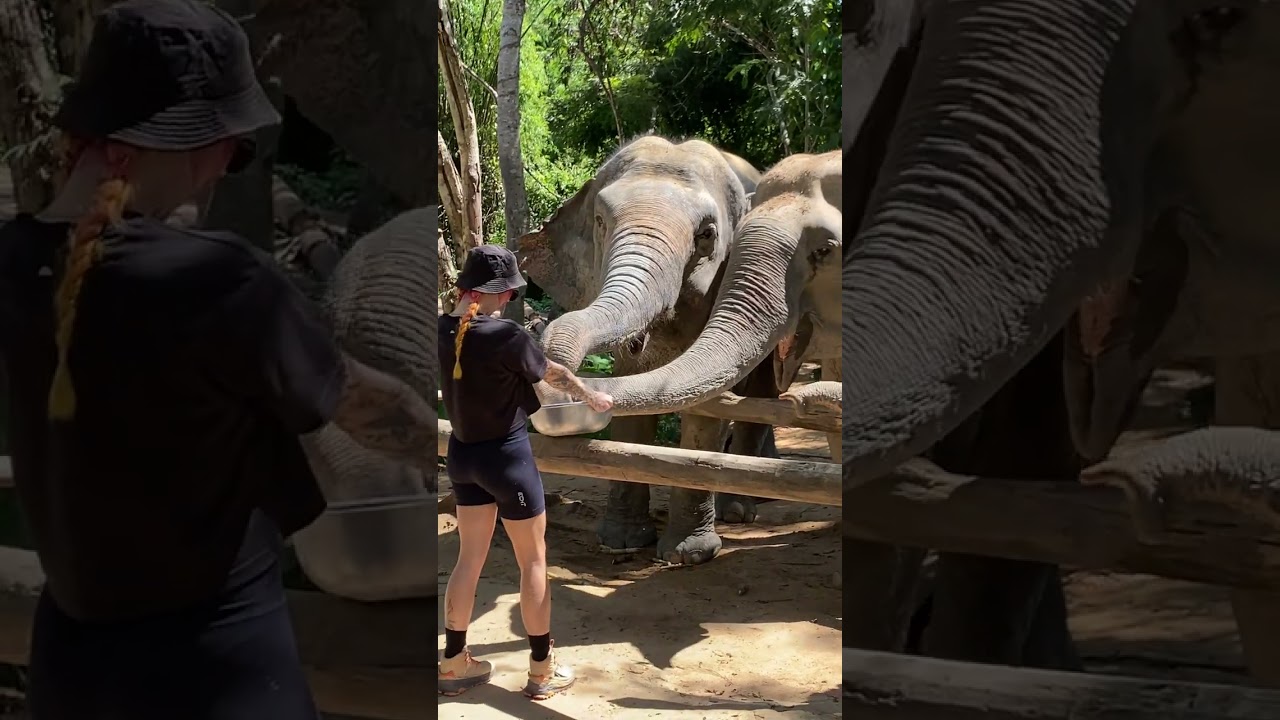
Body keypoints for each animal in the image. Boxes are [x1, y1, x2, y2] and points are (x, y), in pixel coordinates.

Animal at [518, 135, 765, 559]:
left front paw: (688, 554)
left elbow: (707, 407)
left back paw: (739, 510)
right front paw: (621, 542)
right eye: (601, 222)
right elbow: (631, 393)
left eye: (706, 235)